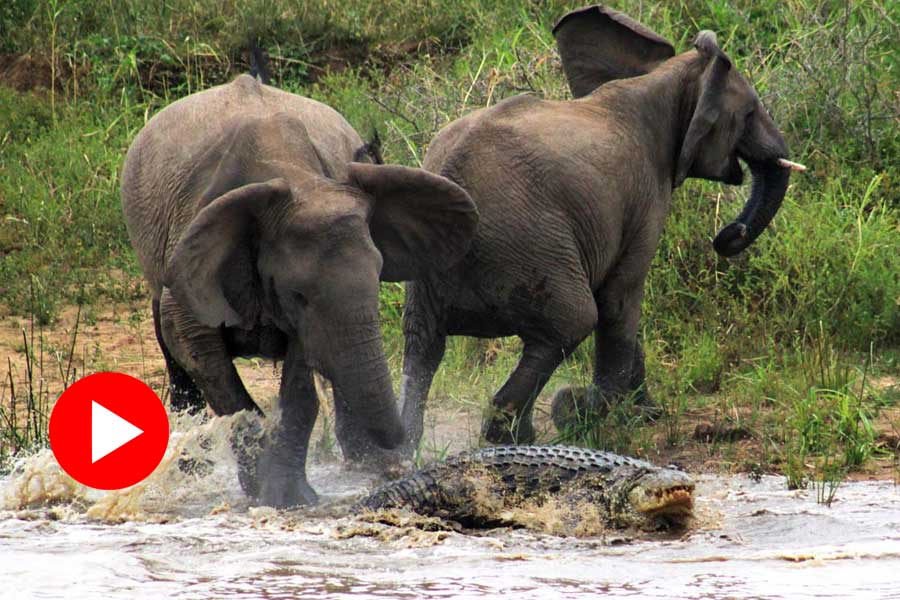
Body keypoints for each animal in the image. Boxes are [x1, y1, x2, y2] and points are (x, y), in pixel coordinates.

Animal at [120, 74, 478, 507]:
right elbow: (196, 346)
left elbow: (303, 385)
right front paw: (260, 488)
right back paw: (191, 473)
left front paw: (290, 497)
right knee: (173, 355)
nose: (397, 463)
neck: (294, 177)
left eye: (378, 278)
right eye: (297, 296)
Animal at [397, 5, 805, 449]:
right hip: (524, 244)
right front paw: (588, 413)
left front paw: (646, 413)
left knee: (422, 344)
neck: (663, 79)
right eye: (748, 113)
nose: (727, 236)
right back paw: (521, 432)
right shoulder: (646, 193)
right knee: (573, 321)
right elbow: (620, 298)